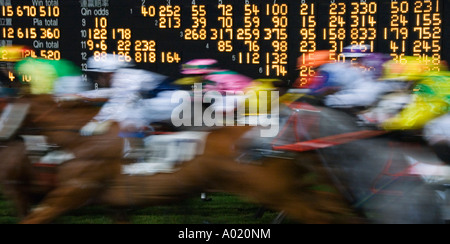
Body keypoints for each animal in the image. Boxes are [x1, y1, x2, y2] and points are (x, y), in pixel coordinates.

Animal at [0, 94, 362, 224]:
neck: (81, 136)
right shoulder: (116, 204)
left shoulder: (72, 192)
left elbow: (34, 216)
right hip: (289, 190)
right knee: (334, 206)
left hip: (276, 192)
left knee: (324, 214)